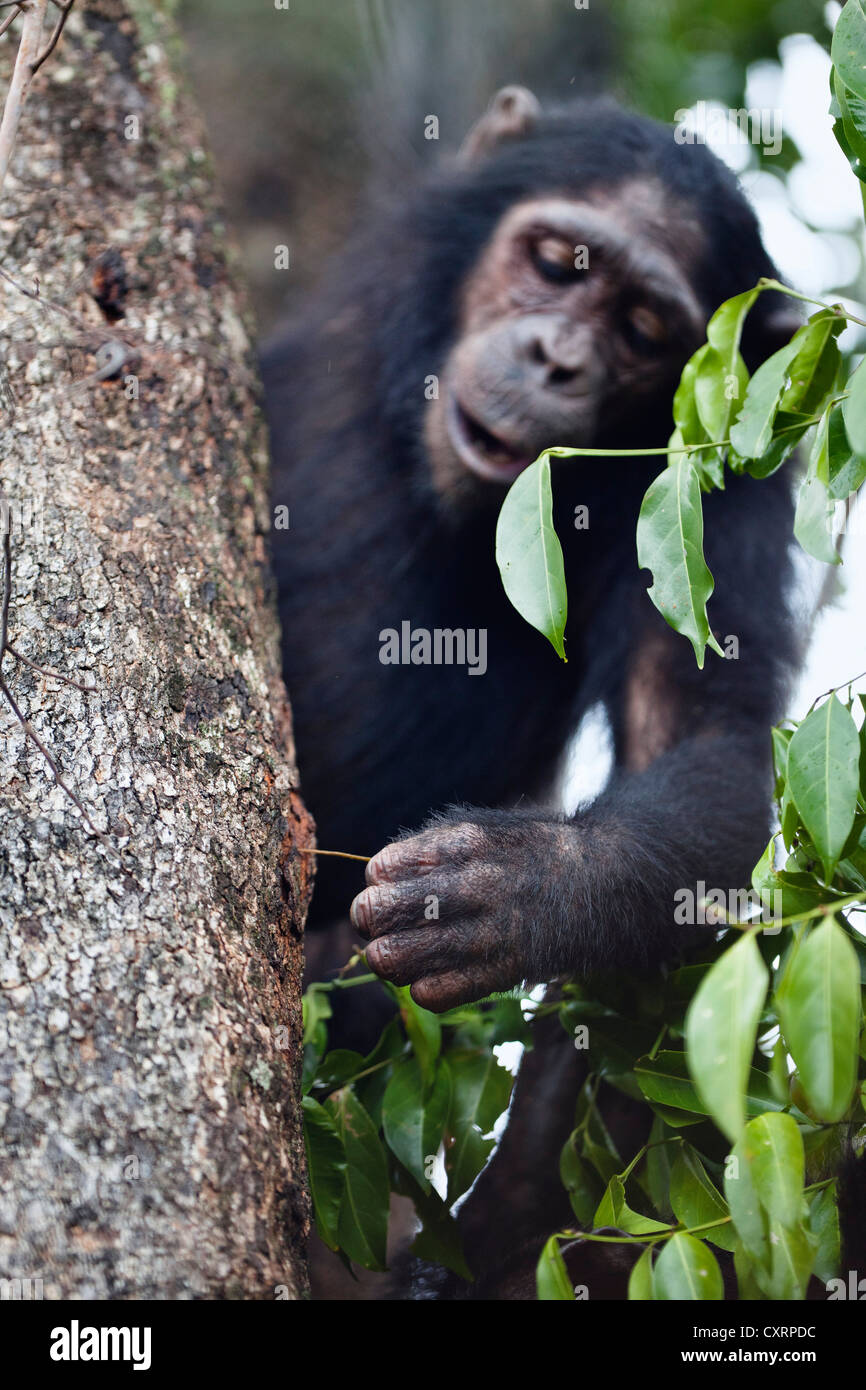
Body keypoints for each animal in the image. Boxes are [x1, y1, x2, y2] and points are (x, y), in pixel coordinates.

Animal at [265, 92, 834, 1295]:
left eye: (642, 330)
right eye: (553, 264)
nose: (558, 355)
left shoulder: (716, 489)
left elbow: (707, 738)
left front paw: (525, 886)